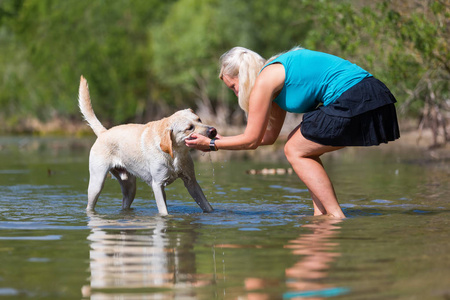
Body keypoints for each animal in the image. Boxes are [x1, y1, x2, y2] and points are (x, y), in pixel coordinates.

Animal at [78, 76, 216, 214]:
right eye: (189, 128)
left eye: (199, 119)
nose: (213, 130)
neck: (175, 153)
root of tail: (103, 132)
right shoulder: (158, 185)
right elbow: (164, 212)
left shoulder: (191, 182)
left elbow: (207, 205)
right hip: (97, 183)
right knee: (90, 205)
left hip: (130, 187)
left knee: (125, 203)